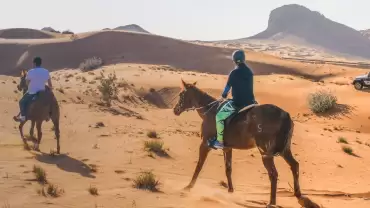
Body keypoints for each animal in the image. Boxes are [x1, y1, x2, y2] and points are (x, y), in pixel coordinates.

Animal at [173, 80, 318, 208]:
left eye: (181, 94)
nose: (175, 110)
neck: (208, 111)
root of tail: (285, 115)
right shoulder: (227, 148)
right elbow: (228, 169)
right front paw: (230, 191)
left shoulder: (204, 144)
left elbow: (199, 166)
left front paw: (188, 186)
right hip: (285, 150)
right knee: (294, 165)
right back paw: (297, 194)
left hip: (265, 153)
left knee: (273, 174)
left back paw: (272, 202)